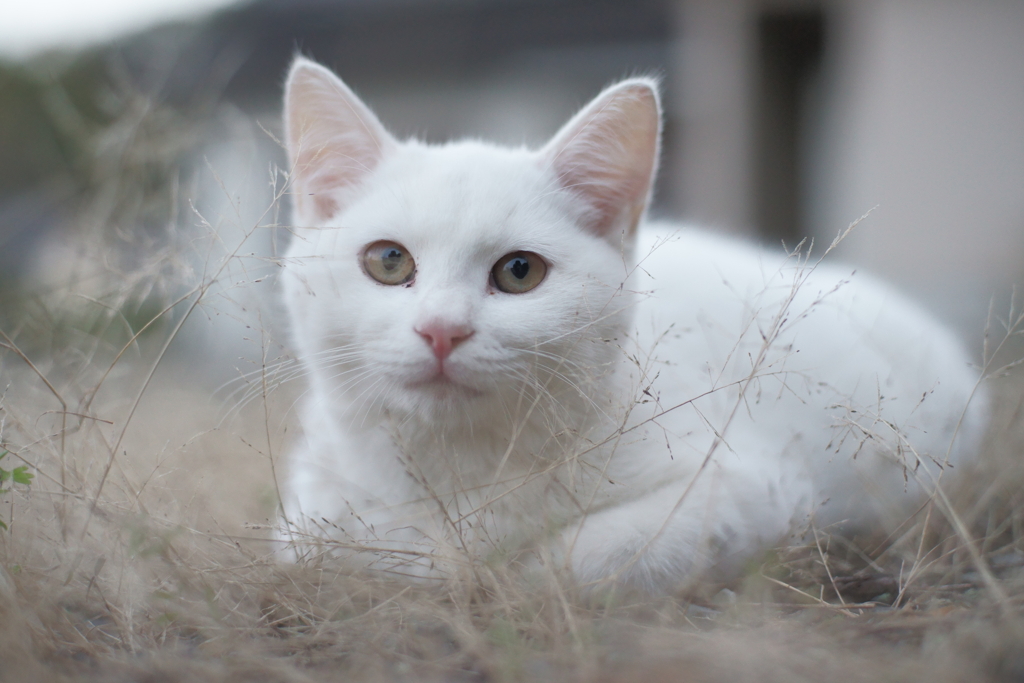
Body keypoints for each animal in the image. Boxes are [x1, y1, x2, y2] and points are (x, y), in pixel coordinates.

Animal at [276, 58, 987, 593]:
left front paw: (493, 577)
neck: (462, 468)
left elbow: (581, 560)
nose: (442, 330)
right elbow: (335, 550)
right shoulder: (310, 509)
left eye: (519, 272)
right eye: (388, 261)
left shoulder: (753, 492)